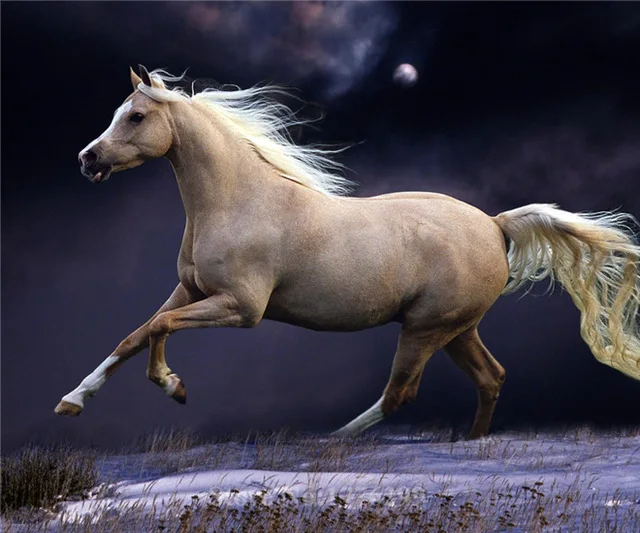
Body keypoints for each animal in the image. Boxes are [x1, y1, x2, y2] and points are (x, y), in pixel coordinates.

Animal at [55, 65, 640, 439]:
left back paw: (328, 440)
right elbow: (135, 334)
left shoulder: (241, 308)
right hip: (456, 328)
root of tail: (496, 226)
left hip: (425, 328)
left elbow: (157, 329)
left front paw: (172, 386)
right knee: (490, 378)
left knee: (401, 392)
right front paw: (72, 401)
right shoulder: (189, 290)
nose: (87, 159)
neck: (237, 201)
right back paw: (471, 444)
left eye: (135, 117)